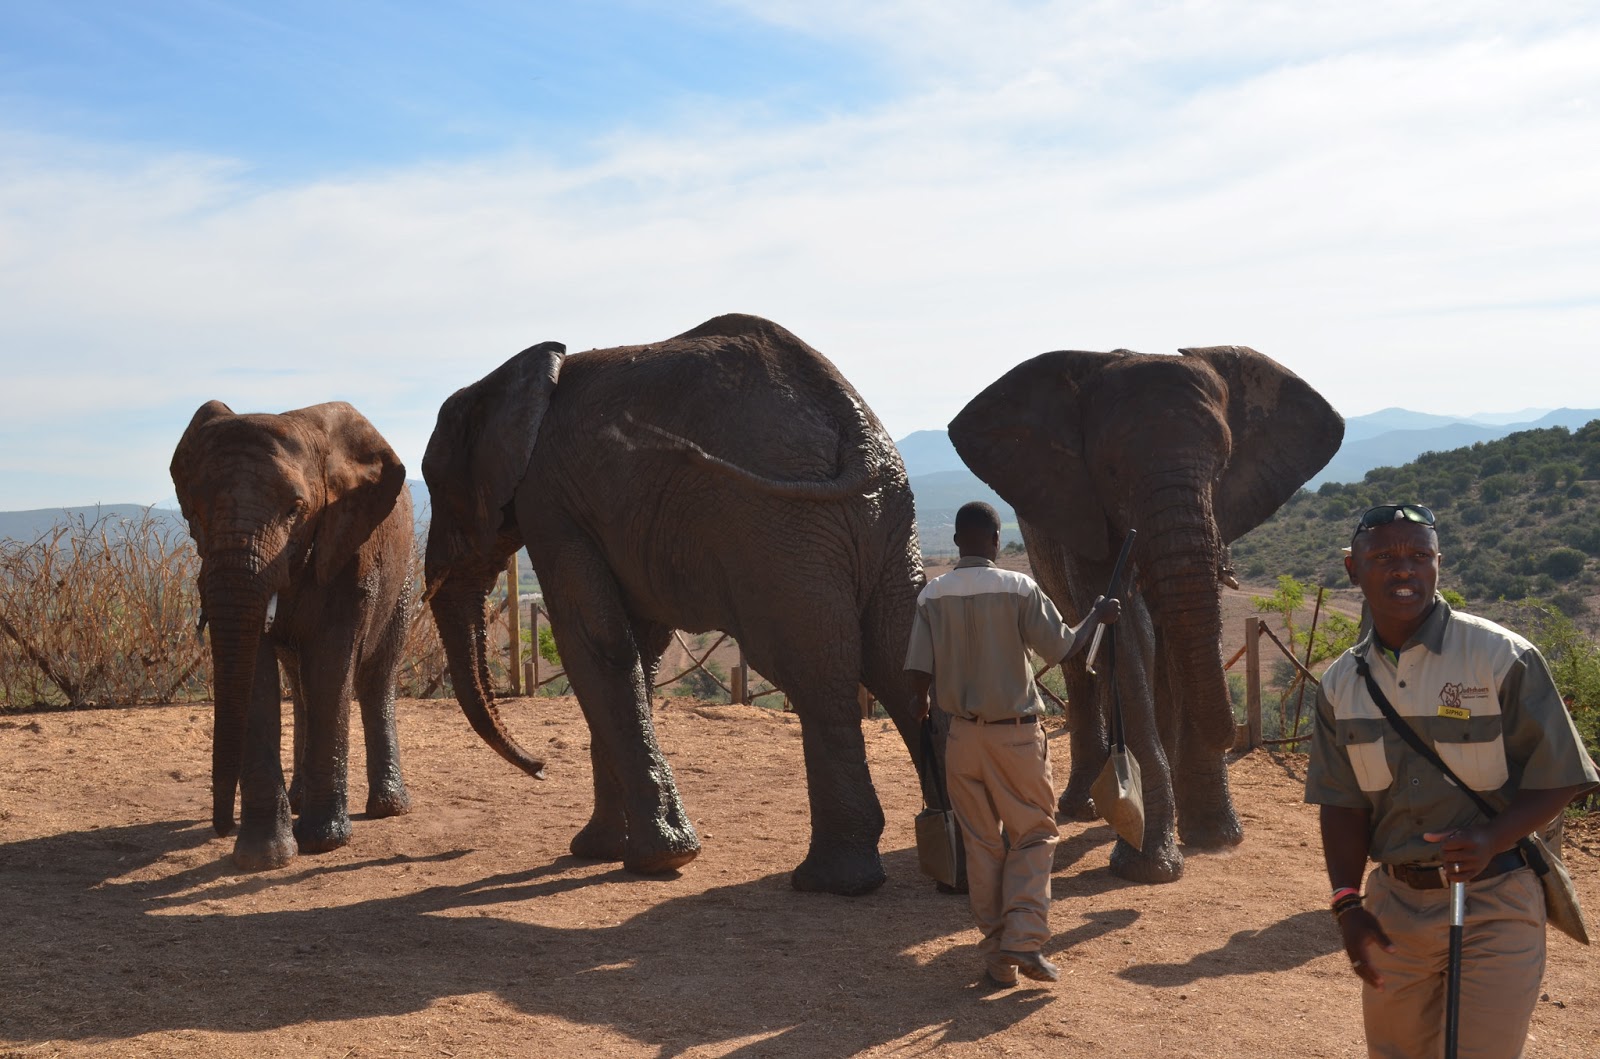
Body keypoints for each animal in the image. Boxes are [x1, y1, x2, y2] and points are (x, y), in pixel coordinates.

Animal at [171, 400, 415, 870]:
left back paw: (389, 808)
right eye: (194, 513)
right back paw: (301, 801)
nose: (221, 825)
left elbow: (332, 664)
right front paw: (262, 856)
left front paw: (324, 842)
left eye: (294, 510)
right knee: (300, 685)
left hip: (405, 578)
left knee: (375, 678)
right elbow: (257, 674)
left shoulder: (351, 546)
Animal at [421, 313, 931, 896]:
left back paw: (832, 882)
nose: (542, 767)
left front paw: (657, 859)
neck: (513, 379)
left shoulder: (549, 501)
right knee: (898, 663)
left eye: (435, 484)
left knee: (815, 673)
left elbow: (596, 645)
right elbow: (637, 654)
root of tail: (854, 428)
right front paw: (604, 851)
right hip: (880, 515)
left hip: (776, 526)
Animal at [948, 346, 1342, 883]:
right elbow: (1128, 637)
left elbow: (1184, 625)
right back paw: (1082, 807)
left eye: (1221, 467)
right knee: (1080, 658)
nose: (1236, 733)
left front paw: (1216, 837)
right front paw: (1149, 864)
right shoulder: (1081, 512)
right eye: (1112, 472)